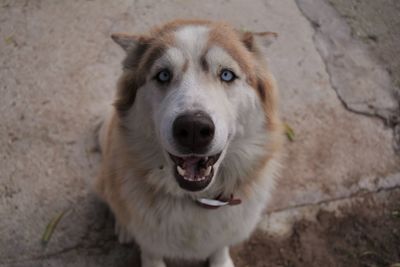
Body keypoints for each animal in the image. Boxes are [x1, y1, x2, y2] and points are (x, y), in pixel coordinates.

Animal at [95, 19, 282, 267]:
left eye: (226, 75)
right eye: (163, 75)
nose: (193, 129)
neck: (195, 199)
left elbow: (220, 247)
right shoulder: (150, 243)